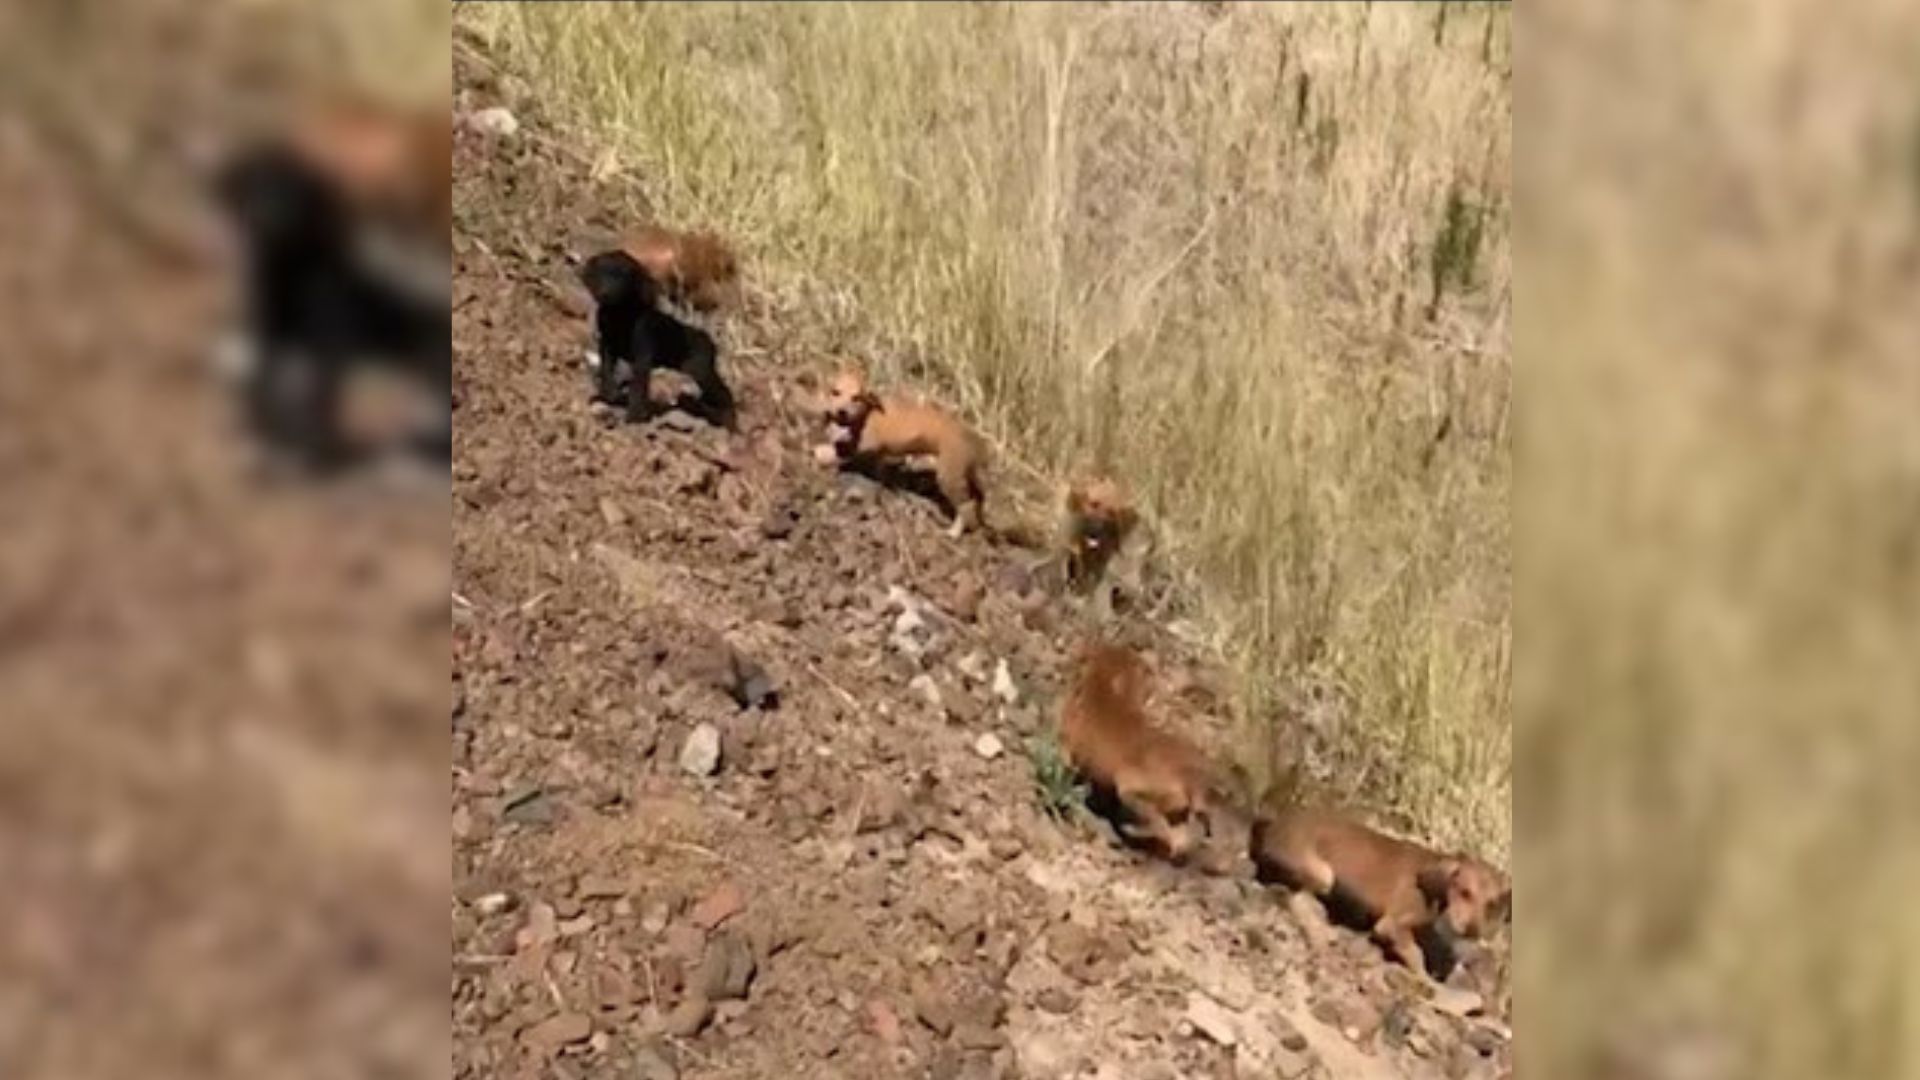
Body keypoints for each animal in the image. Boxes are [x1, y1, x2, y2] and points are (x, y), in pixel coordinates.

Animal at [211, 139, 449, 470]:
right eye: (258, 180)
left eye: (298, 188)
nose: (272, 213)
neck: (291, 270)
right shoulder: (269, 332)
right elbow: (263, 387)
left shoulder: (331, 342)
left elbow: (317, 400)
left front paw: (307, 449)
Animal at [572, 247, 729, 424]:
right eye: (601, 273)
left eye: (623, 276)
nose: (606, 292)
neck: (619, 315)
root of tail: (710, 342)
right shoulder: (607, 345)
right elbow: (606, 370)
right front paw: (609, 395)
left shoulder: (642, 355)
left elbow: (638, 386)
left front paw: (634, 416)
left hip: (701, 372)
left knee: (725, 393)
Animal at [814, 368, 990, 538]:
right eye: (835, 392)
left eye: (856, 397)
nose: (841, 411)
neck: (868, 413)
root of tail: (974, 440)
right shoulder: (878, 454)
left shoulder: (867, 445)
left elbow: (844, 451)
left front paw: (824, 454)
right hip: (965, 474)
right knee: (978, 498)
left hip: (949, 477)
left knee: (965, 505)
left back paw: (953, 533)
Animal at [1059, 638, 1221, 857]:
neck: (1107, 687)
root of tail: (1188, 777)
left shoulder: (1067, 746)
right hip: (1175, 811)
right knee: (1178, 837)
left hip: (1132, 790)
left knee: (1154, 820)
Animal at [1244, 780, 1512, 976]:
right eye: (1465, 892)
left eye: (1491, 904)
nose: (1472, 931)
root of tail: (1272, 824)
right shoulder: (1390, 925)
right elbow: (1415, 954)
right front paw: (1426, 980)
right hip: (1324, 875)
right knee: (1295, 899)